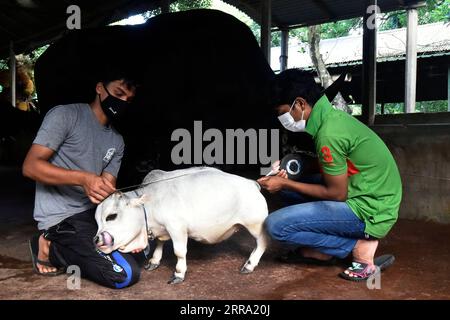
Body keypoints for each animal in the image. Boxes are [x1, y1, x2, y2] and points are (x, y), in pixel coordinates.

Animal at [94, 166, 268, 284]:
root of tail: (252, 183)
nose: (96, 239)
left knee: (262, 243)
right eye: (96, 220)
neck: (152, 202)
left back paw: (249, 265)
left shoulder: (177, 228)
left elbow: (179, 252)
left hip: (256, 224)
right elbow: (160, 243)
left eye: (111, 216)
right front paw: (154, 261)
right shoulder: (163, 230)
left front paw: (178, 273)